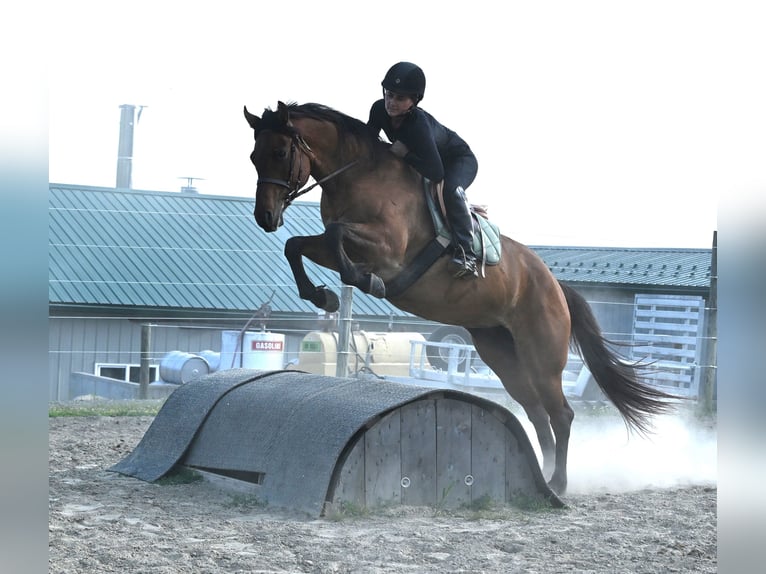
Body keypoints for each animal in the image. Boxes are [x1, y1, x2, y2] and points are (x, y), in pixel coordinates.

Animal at [243, 101, 678, 495]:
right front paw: (322, 296)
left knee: (562, 414)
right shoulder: (336, 245)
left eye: (280, 153)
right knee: (537, 415)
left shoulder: (387, 251)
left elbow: (337, 240)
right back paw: (542, 475)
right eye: (253, 156)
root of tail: (554, 284)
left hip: (542, 355)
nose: (265, 218)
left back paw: (558, 482)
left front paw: (364, 283)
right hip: (501, 354)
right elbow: (298, 245)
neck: (356, 176)